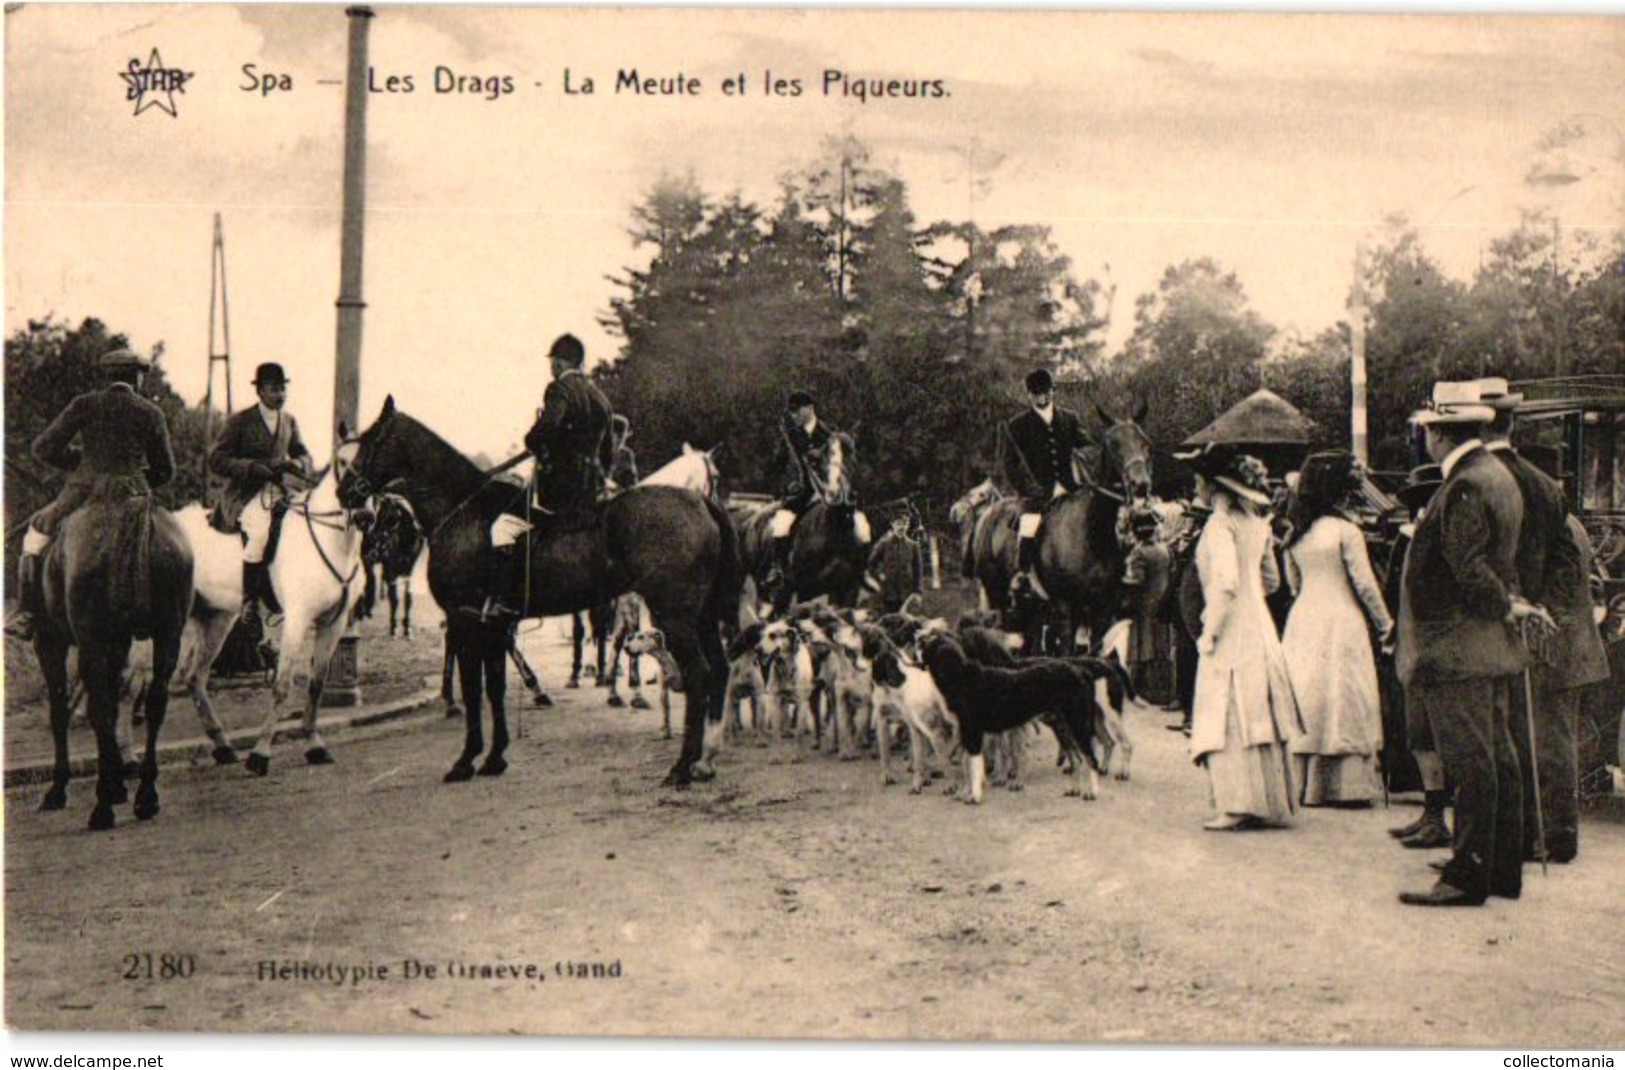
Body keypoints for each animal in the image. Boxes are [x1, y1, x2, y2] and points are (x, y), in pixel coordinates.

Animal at [32, 487, 191, 829]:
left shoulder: (50, 642)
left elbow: (60, 712)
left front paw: (58, 790)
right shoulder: (118, 644)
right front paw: (119, 784)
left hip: (91, 642)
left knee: (99, 708)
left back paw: (102, 808)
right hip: (167, 634)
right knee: (155, 701)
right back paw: (146, 797)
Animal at [169, 458, 364, 774]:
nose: (364, 516)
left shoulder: (333, 624)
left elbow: (316, 685)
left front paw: (314, 745)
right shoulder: (297, 620)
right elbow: (282, 686)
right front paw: (260, 754)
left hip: (216, 618)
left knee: (194, 676)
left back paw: (223, 747)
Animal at [336, 395, 744, 787]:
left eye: (371, 440)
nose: (346, 494)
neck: (463, 510)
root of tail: (699, 501)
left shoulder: (465, 618)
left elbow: (475, 689)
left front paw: (466, 760)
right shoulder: (491, 624)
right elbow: (494, 686)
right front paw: (494, 758)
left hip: (675, 615)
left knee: (699, 673)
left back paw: (682, 767)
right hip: (701, 616)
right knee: (720, 669)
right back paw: (705, 761)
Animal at [734, 426, 871, 608]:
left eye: (853, 457)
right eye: (823, 460)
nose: (841, 498)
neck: (836, 531)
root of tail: (751, 520)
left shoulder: (847, 589)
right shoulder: (805, 590)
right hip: (768, 589)